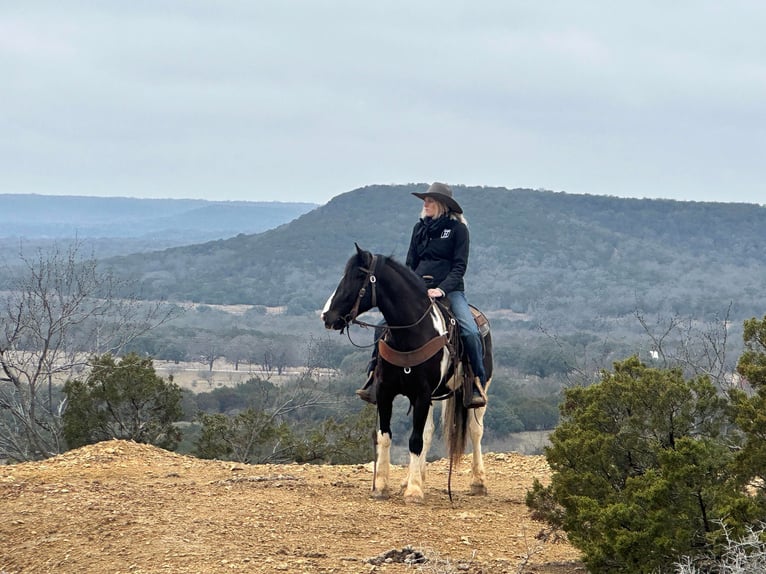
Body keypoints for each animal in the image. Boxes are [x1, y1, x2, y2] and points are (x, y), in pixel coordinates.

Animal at [322, 245, 492, 506]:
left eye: (358, 276)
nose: (326, 316)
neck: (411, 333)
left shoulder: (421, 395)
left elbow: (414, 440)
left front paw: (413, 492)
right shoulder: (385, 392)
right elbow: (385, 436)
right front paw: (382, 486)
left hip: (478, 388)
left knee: (475, 430)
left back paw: (478, 482)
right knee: (429, 432)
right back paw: (415, 477)